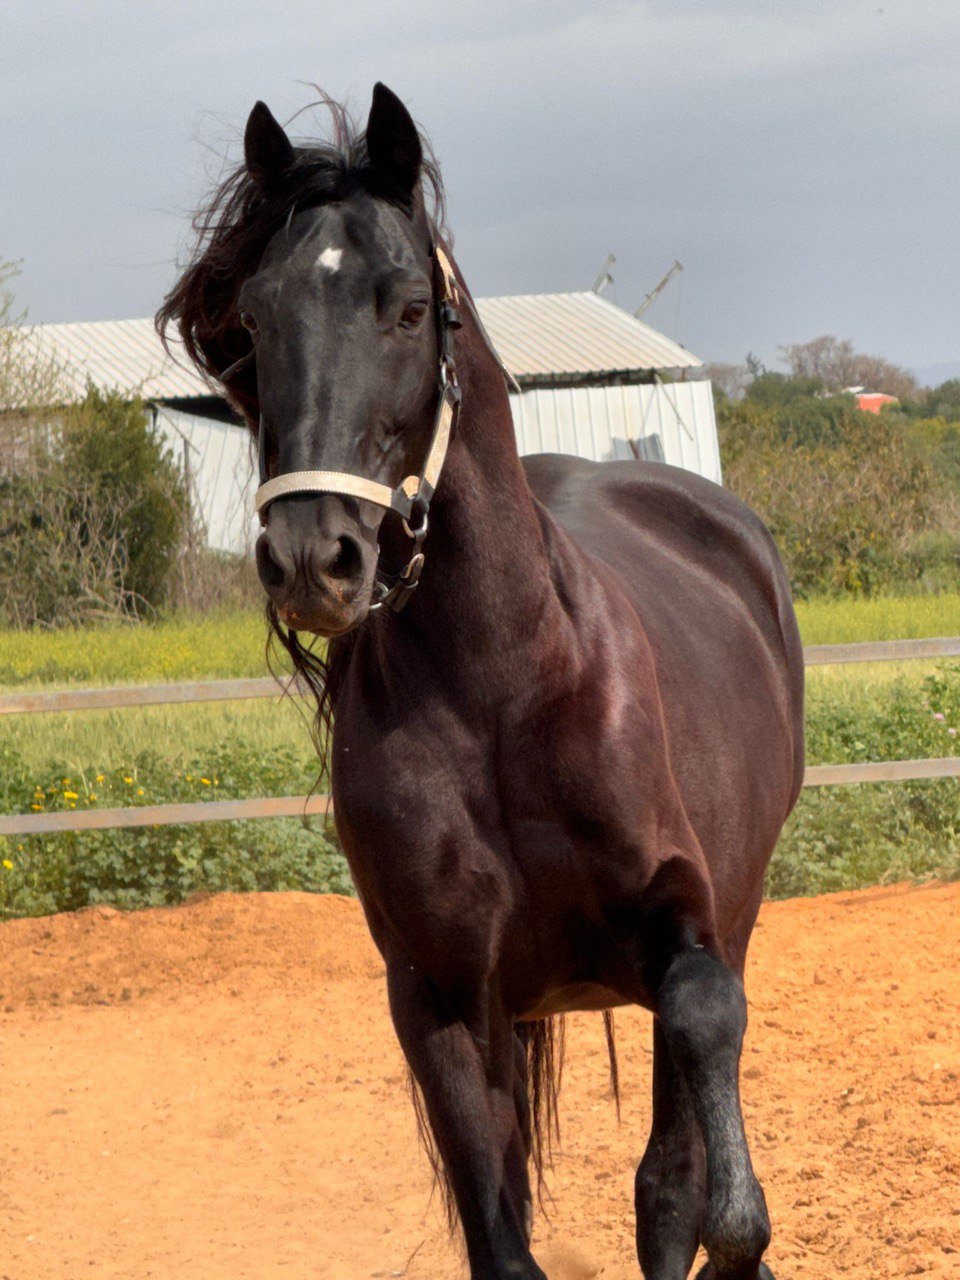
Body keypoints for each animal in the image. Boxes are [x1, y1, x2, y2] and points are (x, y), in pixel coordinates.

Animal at [159, 83, 805, 1280]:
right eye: (255, 323)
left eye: (410, 309)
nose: (313, 558)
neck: (502, 688)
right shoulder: (441, 995)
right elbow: (502, 1238)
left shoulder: (688, 922)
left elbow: (701, 1054)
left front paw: (743, 1240)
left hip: (733, 910)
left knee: (668, 1174)